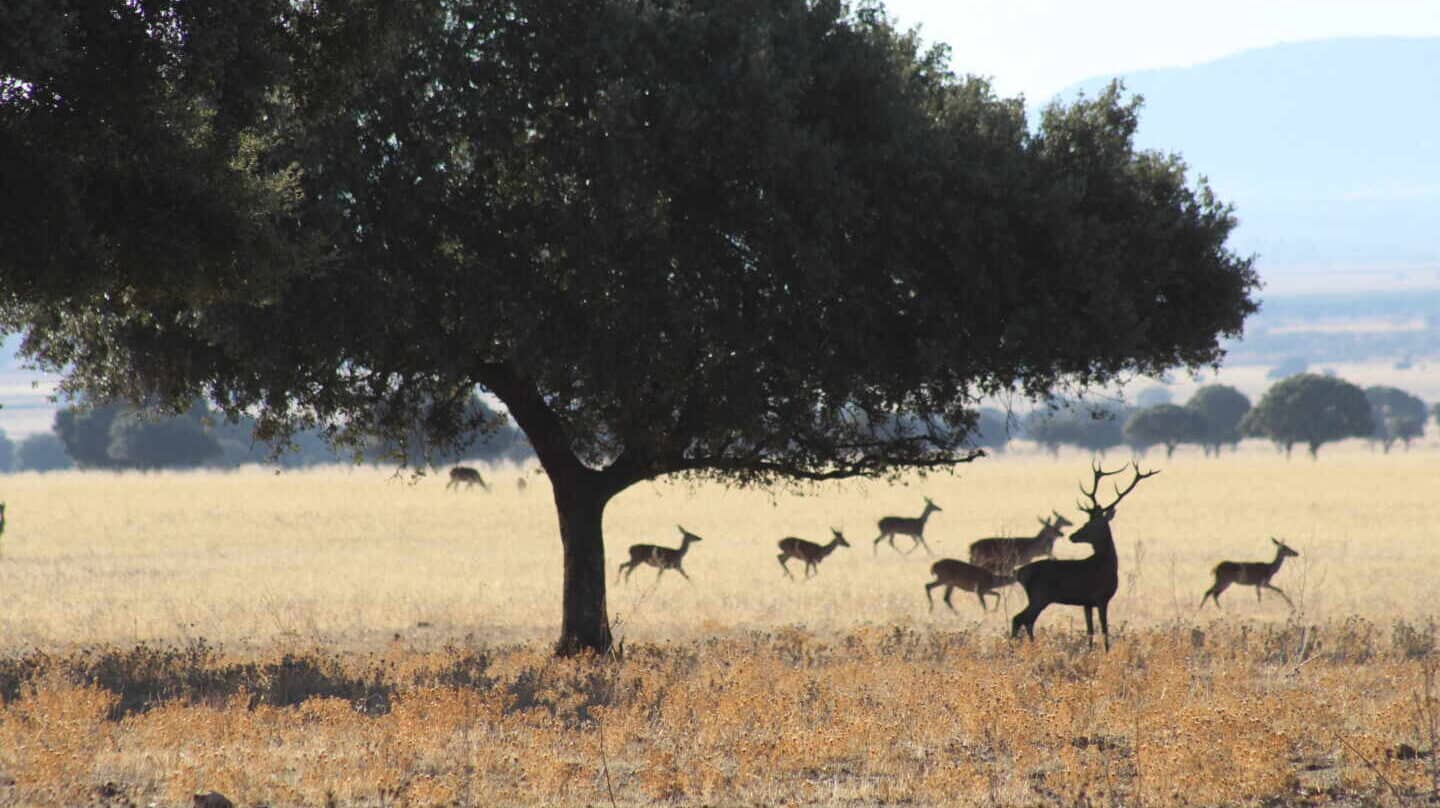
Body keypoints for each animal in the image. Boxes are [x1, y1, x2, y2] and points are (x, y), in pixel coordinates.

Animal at [1013, 460, 1157, 648]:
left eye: (1092, 523)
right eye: (1087, 521)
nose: (1073, 536)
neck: (1106, 564)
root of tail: (1019, 573)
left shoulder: (1086, 602)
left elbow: (1090, 631)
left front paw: (1090, 651)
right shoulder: (1102, 597)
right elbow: (1104, 630)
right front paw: (1106, 651)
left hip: (1038, 597)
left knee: (1026, 620)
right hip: (1040, 594)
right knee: (1020, 618)